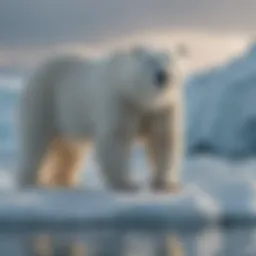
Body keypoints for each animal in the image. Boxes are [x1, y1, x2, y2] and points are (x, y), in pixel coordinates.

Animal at [17, 45, 185, 191]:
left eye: (169, 61)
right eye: (149, 62)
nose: (162, 76)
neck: (143, 99)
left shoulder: (163, 109)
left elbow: (163, 140)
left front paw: (166, 184)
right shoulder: (121, 102)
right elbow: (116, 139)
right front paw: (127, 184)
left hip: (68, 118)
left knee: (70, 151)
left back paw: (66, 182)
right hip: (46, 101)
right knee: (36, 140)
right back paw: (32, 181)